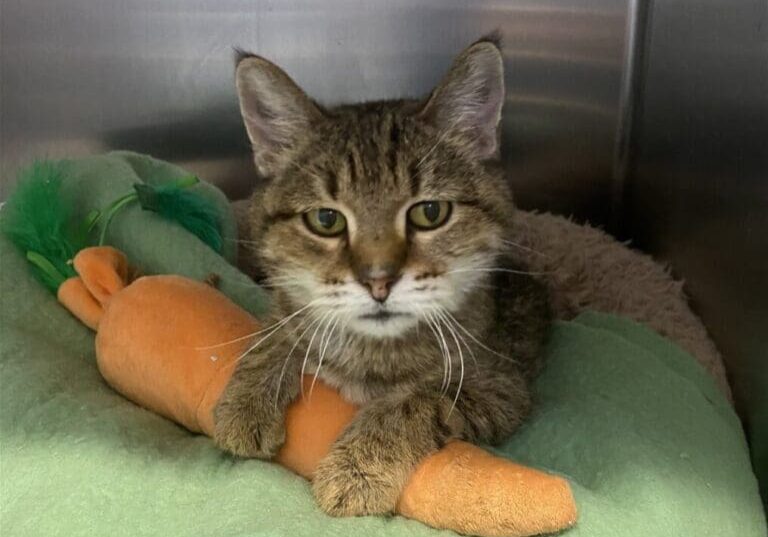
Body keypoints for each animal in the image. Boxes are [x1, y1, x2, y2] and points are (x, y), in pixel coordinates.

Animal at [214, 36, 552, 516]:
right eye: (326, 220)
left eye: (430, 213)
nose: (378, 282)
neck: (371, 351)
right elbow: (281, 325)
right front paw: (247, 399)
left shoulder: (500, 389)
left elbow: (414, 401)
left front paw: (357, 468)